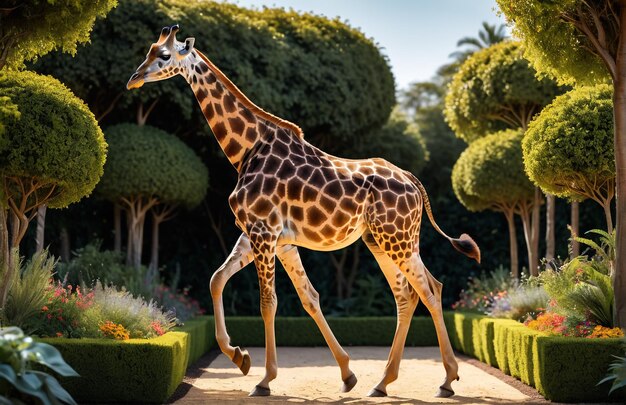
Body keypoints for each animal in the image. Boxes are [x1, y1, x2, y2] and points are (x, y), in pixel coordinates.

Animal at [127, 26, 478, 398]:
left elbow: (268, 303)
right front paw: (244, 358)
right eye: (149, 50)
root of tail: (413, 181)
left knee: (430, 289)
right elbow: (242, 284)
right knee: (407, 295)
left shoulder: (263, 232)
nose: (134, 79)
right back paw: (383, 382)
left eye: (164, 55)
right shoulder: (267, 237)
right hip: (378, 240)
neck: (245, 150)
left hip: (398, 238)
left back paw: (447, 380)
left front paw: (265, 379)